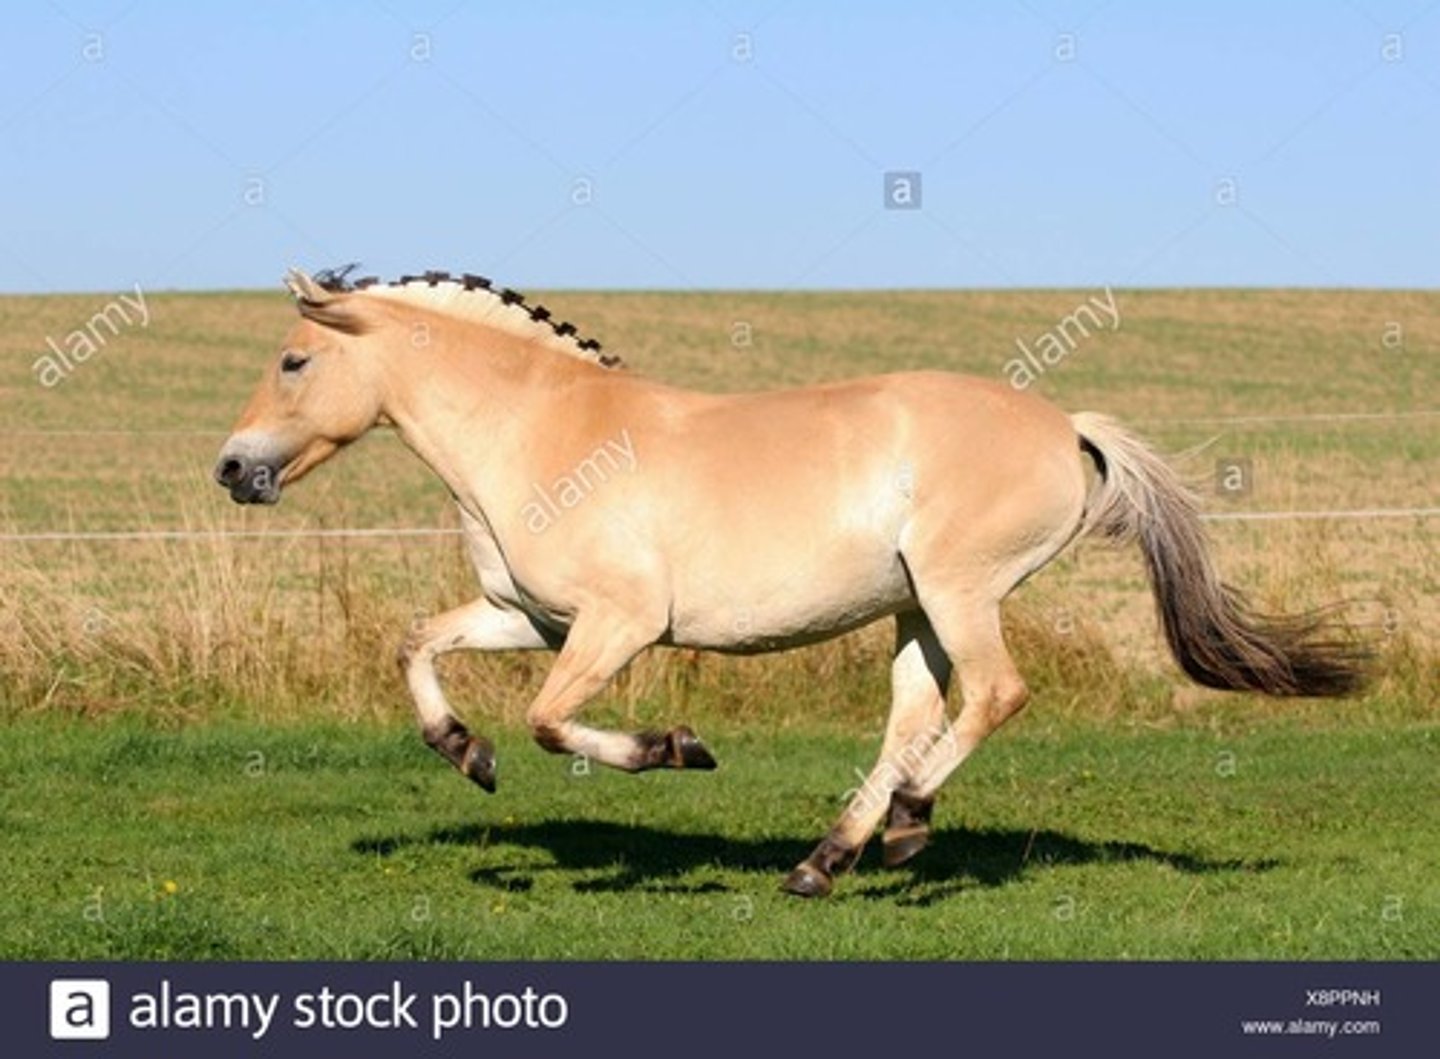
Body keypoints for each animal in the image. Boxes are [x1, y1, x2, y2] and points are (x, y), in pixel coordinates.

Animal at [210, 269, 1359, 899]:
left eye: (293, 362)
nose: (230, 468)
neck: (540, 434)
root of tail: (1062, 423)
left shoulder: (617, 626)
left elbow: (550, 721)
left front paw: (677, 748)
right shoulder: (528, 618)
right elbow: (418, 647)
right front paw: (468, 756)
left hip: (960, 592)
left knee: (992, 697)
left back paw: (904, 821)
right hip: (913, 607)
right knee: (914, 718)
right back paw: (831, 858)